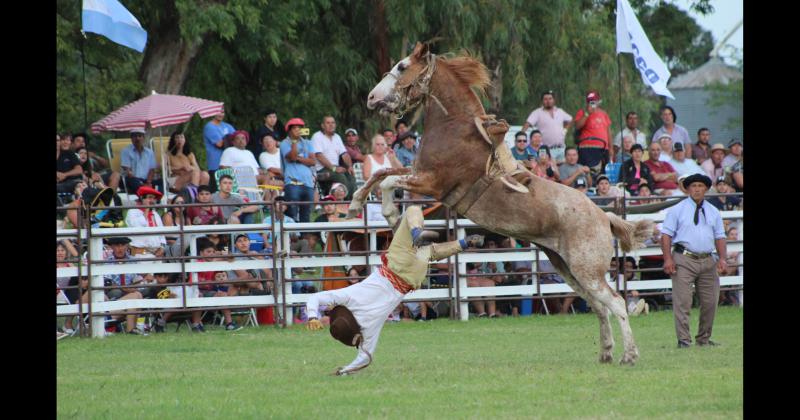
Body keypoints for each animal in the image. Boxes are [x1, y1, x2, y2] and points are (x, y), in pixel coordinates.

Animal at [354, 41, 652, 364]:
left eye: (402, 66)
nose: (371, 97)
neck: (456, 127)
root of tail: (604, 217)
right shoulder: (419, 172)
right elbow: (383, 173)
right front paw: (357, 202)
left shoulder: (433, 182)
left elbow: (388, 182)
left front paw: (391, 214)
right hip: (567, 267)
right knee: (599, 307)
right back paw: (606, 353)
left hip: (587, 269)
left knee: (616, 302)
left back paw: (629, 356)